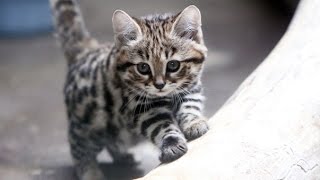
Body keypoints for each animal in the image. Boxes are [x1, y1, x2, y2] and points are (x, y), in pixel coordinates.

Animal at [50, 0, 210, 179]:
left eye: (173, 65)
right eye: (143, 68)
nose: (159, 85)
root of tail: (86, 51)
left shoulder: (191, 88)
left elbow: (190, 105)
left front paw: (194, 123)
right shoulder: (141, 107)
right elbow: (162, 126)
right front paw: (172, 143)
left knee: (112, 142)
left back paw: (122, 156)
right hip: (90, 123)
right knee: (78, 146)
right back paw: (90, 172)